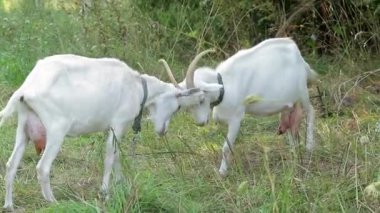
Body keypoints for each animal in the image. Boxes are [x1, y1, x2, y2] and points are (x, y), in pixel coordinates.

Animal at [0, 53, 205, 210]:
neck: (137, 86)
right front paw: (105, 193)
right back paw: (54, 202)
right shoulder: (118, 124)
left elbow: (117, 157)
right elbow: (109, 157)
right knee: (42, 167)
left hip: (24, 127)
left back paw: (9, 205)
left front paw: (122, 185)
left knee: (11, 164)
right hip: (57, 130)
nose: (163, 131)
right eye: (178, 106)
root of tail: (27, 88)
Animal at [159, 37, 320, 176]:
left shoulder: (236, 119)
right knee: (290, 123)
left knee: (311, 111)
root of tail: (300, 59)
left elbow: (225, 147)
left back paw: (309, 147)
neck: (225, 85)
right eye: (187, 106)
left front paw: (222, 173)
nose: (200, 123)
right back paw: (294, 152)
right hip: (289, 102)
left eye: (201, 99)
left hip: (303, 92)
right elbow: (227, 145)